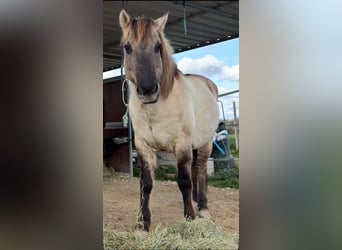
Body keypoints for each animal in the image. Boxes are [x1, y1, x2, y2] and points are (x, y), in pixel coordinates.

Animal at [119, 10, 219, 232]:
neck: (156, 108)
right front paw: (143, 225)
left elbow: (184, 181)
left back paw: (203, 208)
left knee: (200, 170)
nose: (148, 90)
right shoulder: (143, 146)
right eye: (127, 47)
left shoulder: (181, 145)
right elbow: (146, 183)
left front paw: (189, 218)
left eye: (158, 46)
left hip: (206, 143)